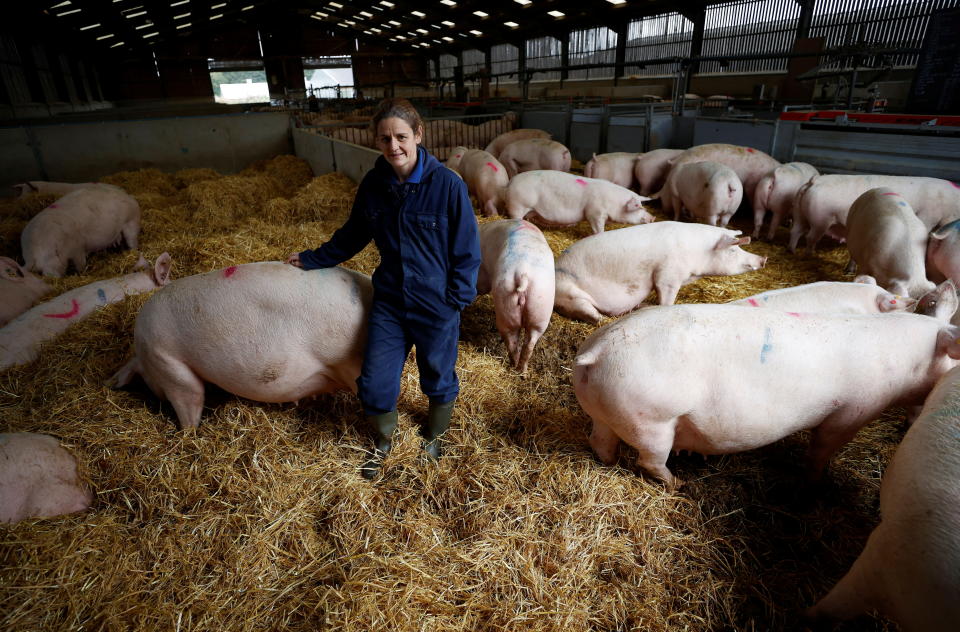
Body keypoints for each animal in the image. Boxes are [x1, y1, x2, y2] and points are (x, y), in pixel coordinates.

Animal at [572, 280, 956, 488]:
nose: (949, 284)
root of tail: (596, 351)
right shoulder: (854, 411)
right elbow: (823, 446)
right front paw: (816, 482)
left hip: (606, 410)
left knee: (600, 442)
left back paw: (611, 463)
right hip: (652, 420)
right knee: (650, 461)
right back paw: (679, 484)